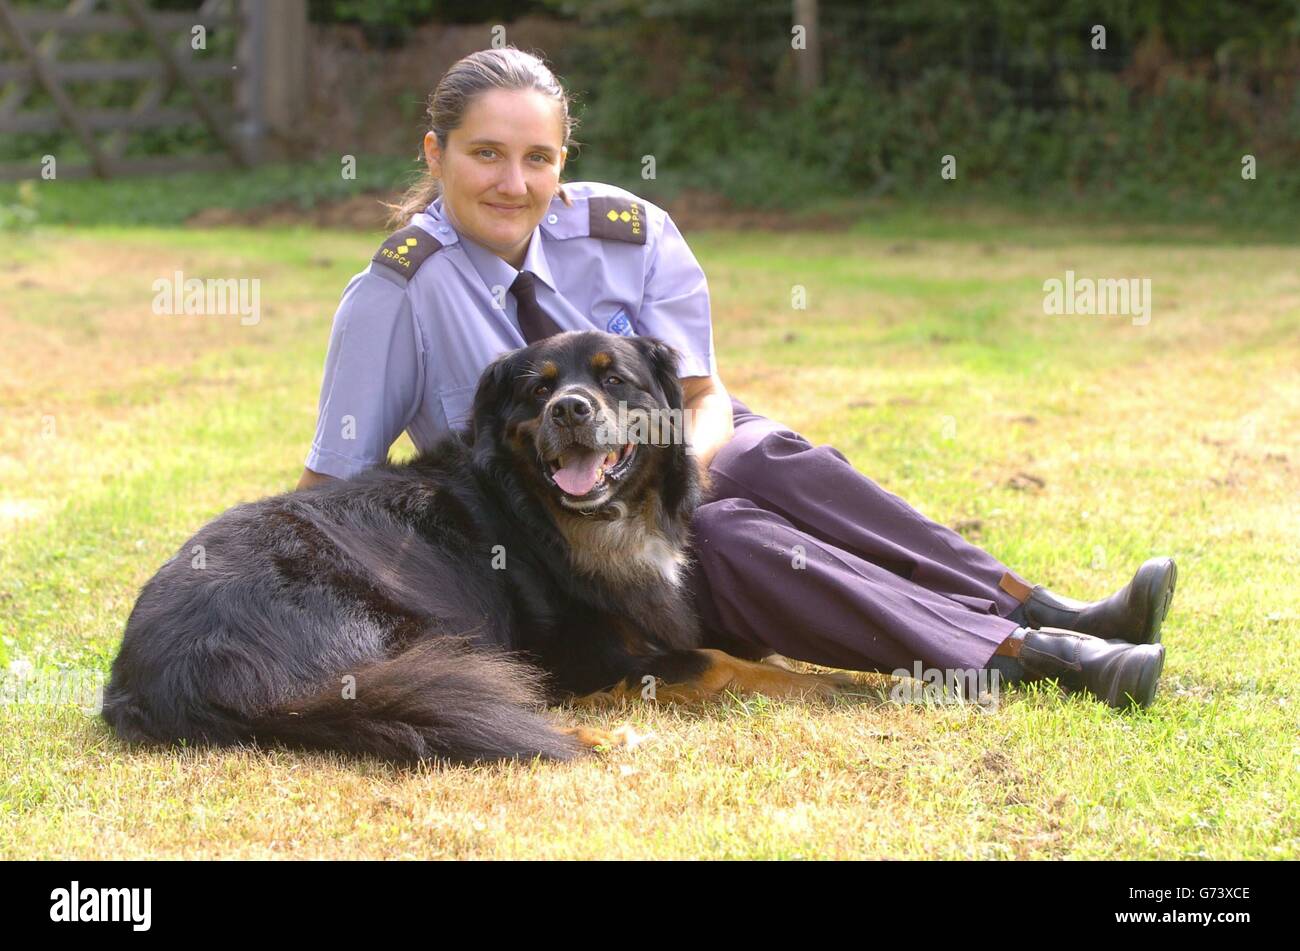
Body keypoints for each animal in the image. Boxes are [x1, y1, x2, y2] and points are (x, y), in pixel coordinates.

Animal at [101, 329, 842, 763]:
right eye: (539, 387)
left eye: (614, 379)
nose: (569, 410)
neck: (545, 508)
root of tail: (162, 669)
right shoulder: (581, 652)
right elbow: (717, 662)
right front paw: (824, 683)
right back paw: (593, 735)